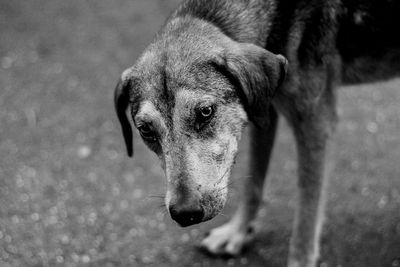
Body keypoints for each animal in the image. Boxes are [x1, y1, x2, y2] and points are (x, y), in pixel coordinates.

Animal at [112, 1, 400, 266]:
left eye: (205, 112)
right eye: (145, 129)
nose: (185, 213)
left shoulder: (314, 123)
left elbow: (306, 217)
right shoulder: (264, 109)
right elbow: (254, 183)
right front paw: (238, 232)